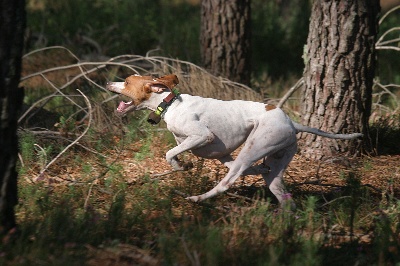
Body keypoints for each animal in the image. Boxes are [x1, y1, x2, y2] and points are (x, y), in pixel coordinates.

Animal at [107, 74, 362, 205]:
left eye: (127, 82)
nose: (109, 82)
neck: (169, 103)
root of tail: (291, 123)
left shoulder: (202, 136)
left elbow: (170, 153)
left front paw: (180, 166)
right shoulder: (222, 154)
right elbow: (179, 152)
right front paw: (184, 165)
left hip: (250, 150)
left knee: (227, 182)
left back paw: (198, 198)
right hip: (273, 169)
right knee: (277, 187)